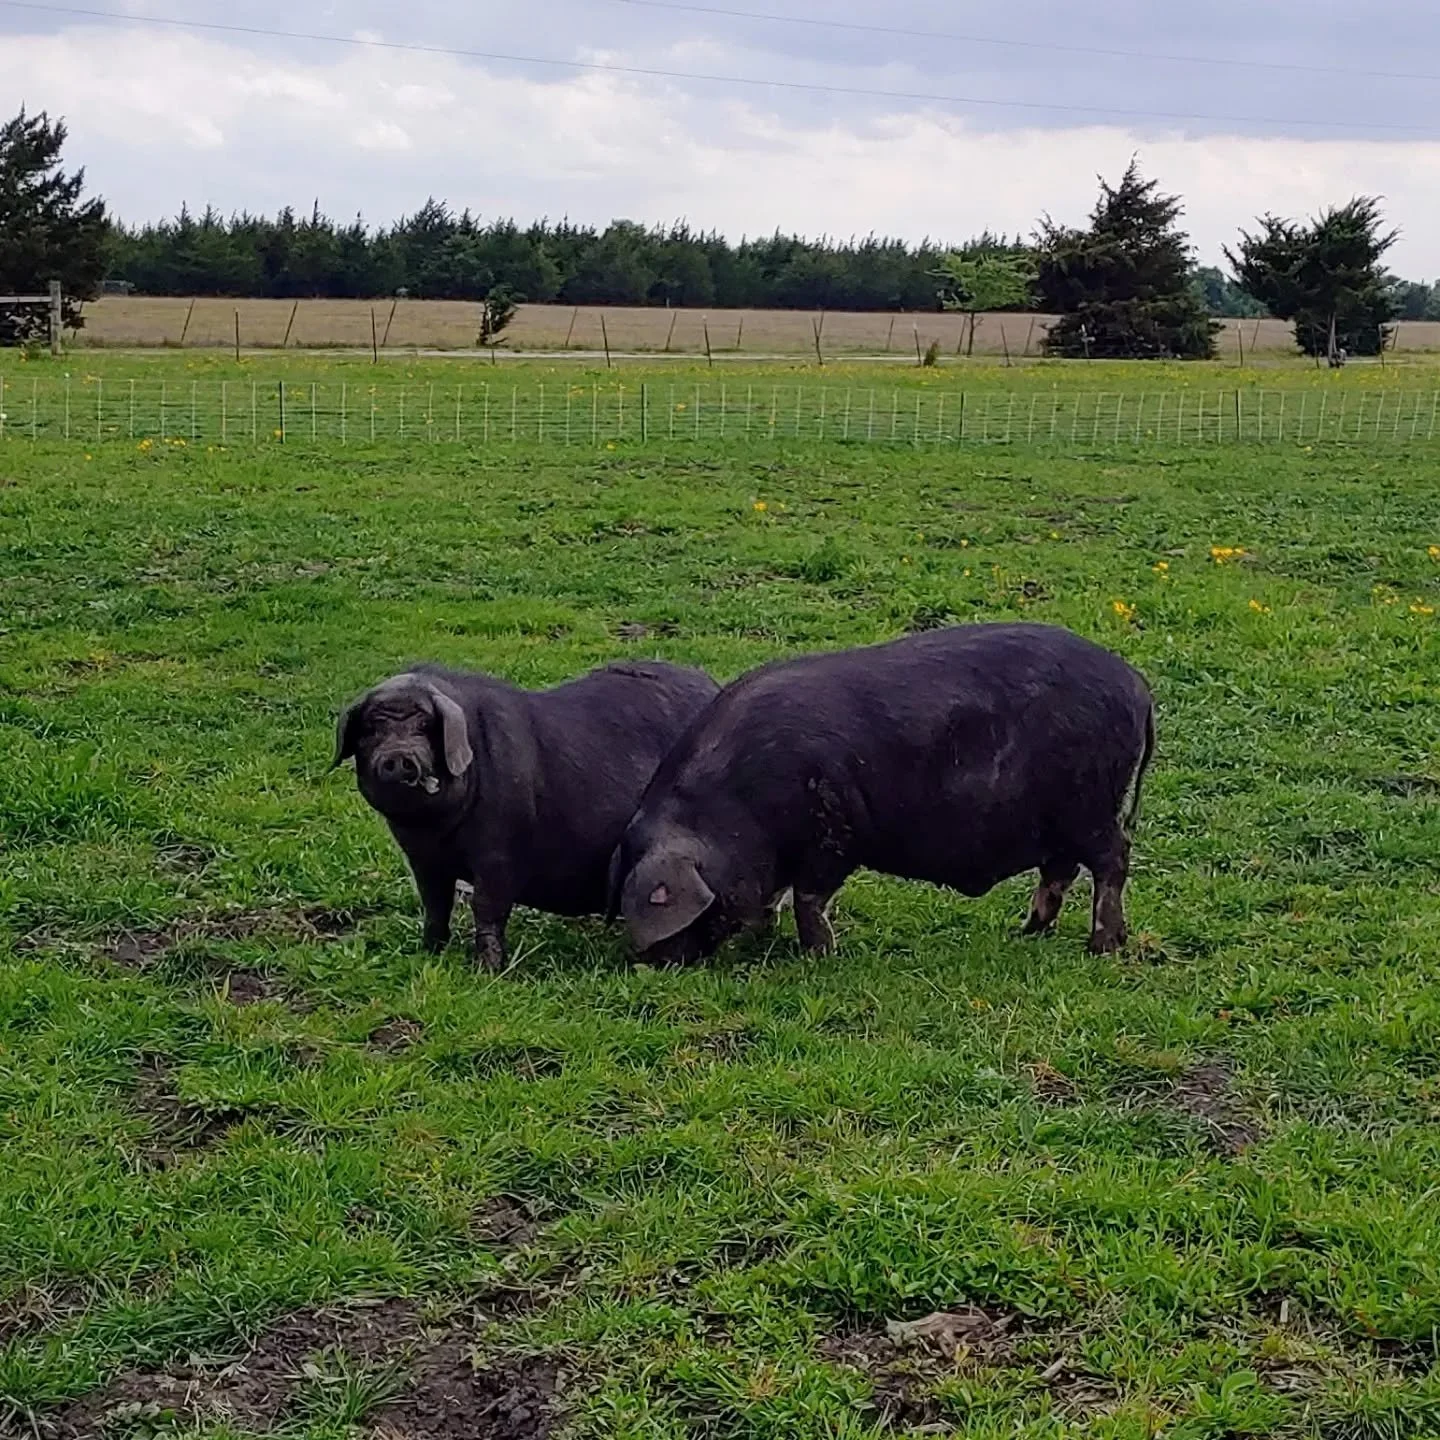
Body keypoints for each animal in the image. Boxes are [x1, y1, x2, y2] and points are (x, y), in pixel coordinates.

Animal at [333, 660, 719, 968]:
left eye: (425, 727)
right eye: (371, 729)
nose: (399, 756)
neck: (435, 832)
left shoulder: (500, 850)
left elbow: (487, 905)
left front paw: (487, 970)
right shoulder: (422, 859)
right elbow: (434, 903)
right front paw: (428, 953)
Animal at [609, 623, 1154, 963]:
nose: (654, 962)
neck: (735, 806)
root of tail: (1136, 685)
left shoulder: (832, 834)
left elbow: (809, 897)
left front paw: (821, 954)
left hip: (1091, 803)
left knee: (1112, 860)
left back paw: (1101, 947)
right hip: (1060, 820)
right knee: (1059, 870)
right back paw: (1025, 932)